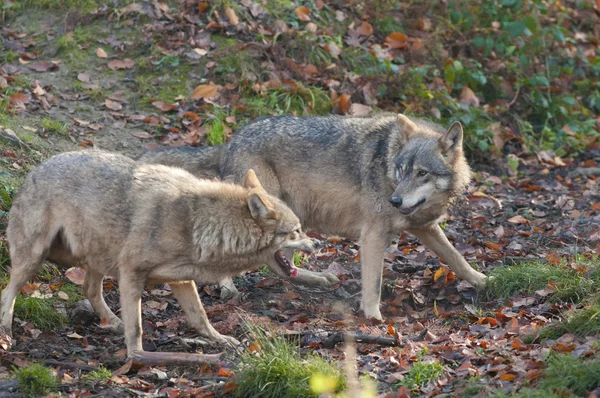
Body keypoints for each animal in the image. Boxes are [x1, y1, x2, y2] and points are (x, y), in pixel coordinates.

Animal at [2, 151, 314, 356]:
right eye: (296, 231)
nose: (316, 245)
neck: (199, 223)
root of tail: (34, 170)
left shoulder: (182, 280)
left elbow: (200, 316)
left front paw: (220, 339)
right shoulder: (130, 272)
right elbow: (138, 327)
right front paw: (138, 358)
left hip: (97, 259)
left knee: (90, 289)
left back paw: (113, 322)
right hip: (34, 258)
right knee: (8, 292)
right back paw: (6, 333)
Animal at [139, 113, 488, 318]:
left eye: (421, 173)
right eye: (402, 170)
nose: (395, 200)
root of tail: (229, 142)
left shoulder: (425, 227)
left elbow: (456, 258)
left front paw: (484, 280)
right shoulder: (372, 237)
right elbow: (374, 284)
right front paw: (373, 318)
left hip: (294, 222)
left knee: (283, 266)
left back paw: (319, 279)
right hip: (271, 215)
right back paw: (229, 287)